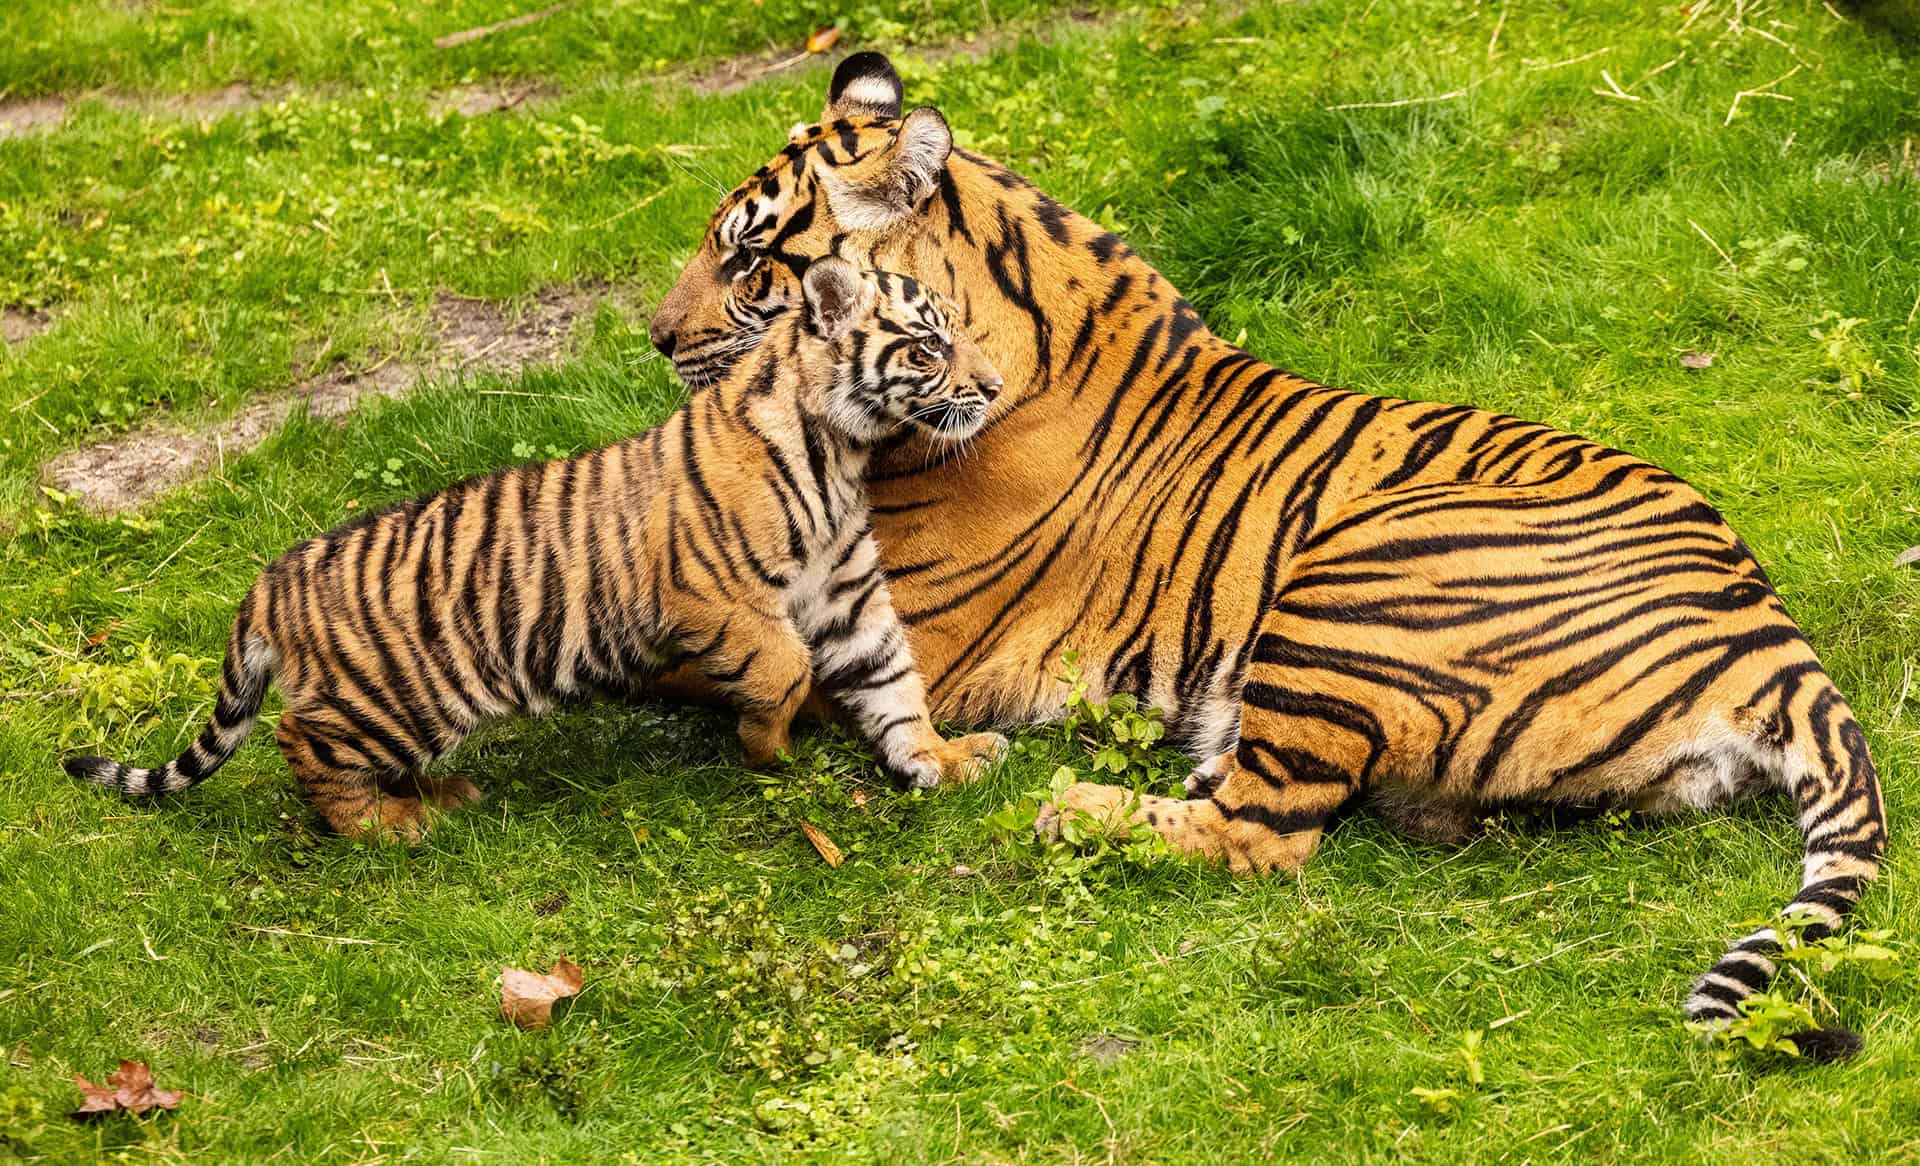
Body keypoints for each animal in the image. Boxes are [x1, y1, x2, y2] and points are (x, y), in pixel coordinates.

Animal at [652, 54, 1881, 1052]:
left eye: (751, 258)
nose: (658, 339)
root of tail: (1770, 636)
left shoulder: (887, 634)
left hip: (1355, 573)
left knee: (1265, 835)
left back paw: (1077, 805)